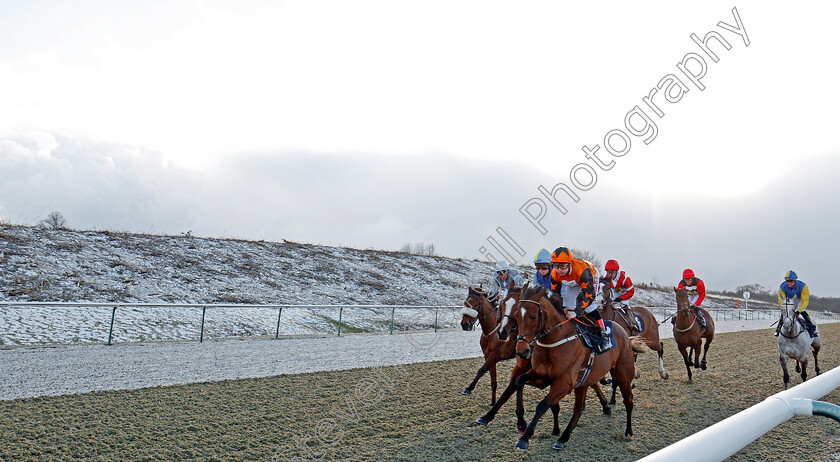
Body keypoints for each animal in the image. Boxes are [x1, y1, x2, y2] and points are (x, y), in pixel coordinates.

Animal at [498, 286, 644, 452]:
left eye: (534, 317)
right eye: (517, 315)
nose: (522, 351)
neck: (554, 339)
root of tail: (624, 333)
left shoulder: (564, 383)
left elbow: (542, 405)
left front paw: (524, 438)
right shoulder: (543, 377)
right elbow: (519, 381)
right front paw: (521, 423)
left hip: (623, 375)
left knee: (628, 401)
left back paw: (628, 431)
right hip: (584, 382)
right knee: (579, 408)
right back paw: (563, 438)